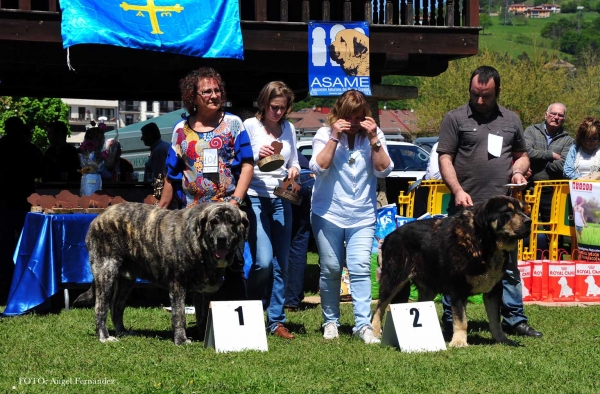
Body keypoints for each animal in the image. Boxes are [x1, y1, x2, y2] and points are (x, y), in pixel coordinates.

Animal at [75, 203, 248, 344]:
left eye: (232, 222)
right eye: (214, 222)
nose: (221, 238)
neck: (201, 246)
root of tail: (99, 216)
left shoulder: (202, 292)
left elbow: (203, 316)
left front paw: (204, 337)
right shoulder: (178, 286)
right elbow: (179, 314)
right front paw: (181, 340)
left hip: (126, 280)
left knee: (116, 306)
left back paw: (122, 331)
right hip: (106, 272)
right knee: (101, 307)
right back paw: (104, 337)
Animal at [372, 195, 532, 346]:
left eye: (522, 210)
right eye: (507, 212)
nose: (529, 221)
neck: (483, 243)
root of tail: (389, 236)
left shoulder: (494, 290)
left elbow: (495, 321)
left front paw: (502, 340)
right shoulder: (458, 289)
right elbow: (461, 320)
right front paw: (459, 341)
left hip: (428, 288)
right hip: (394, 279)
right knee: (379, 307)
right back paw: (374, 333)